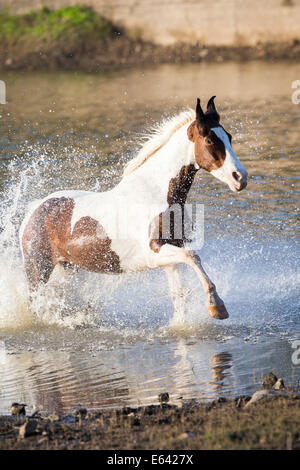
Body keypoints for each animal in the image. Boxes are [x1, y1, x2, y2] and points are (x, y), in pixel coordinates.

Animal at [19, 97, 247, 322]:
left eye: (229, 137)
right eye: (209, 140)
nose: (240, 178)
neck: (155, 193)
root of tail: (34, 210)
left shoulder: (170, 258)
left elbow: (179, 295)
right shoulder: (153, 253)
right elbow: (194, 257)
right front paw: (217, 306)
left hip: (68, 268)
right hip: (38, 271)